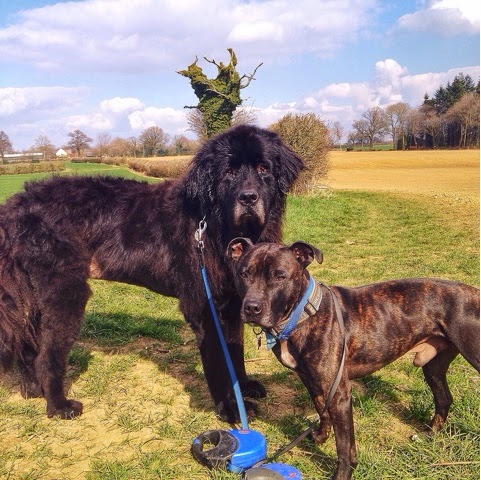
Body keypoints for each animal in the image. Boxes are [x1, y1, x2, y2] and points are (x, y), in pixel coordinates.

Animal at [0, 124, 303, 420]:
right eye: (228, 172)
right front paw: (231, 409)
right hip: (66, 293)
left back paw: (32, 389)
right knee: (47, 354)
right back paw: (59, 405)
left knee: (28, 345)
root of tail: (16, 205)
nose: (248, 197)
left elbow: (235, 352)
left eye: (263, 168)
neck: (215, 225)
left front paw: (245, 388)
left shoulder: (232, 302)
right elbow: (219, 361)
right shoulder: (204, 306)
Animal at [227, 238, 480, 480]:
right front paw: (320, 437)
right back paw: (429, 434)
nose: (252, 307)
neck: (303, 313)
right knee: (444, 398)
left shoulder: (339, 394)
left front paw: (342, 473)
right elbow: (321, 410)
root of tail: (474, 292)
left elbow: (344, 444)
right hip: (433, 366)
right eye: (244, 274)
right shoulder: (312, 381)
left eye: (280, 276)